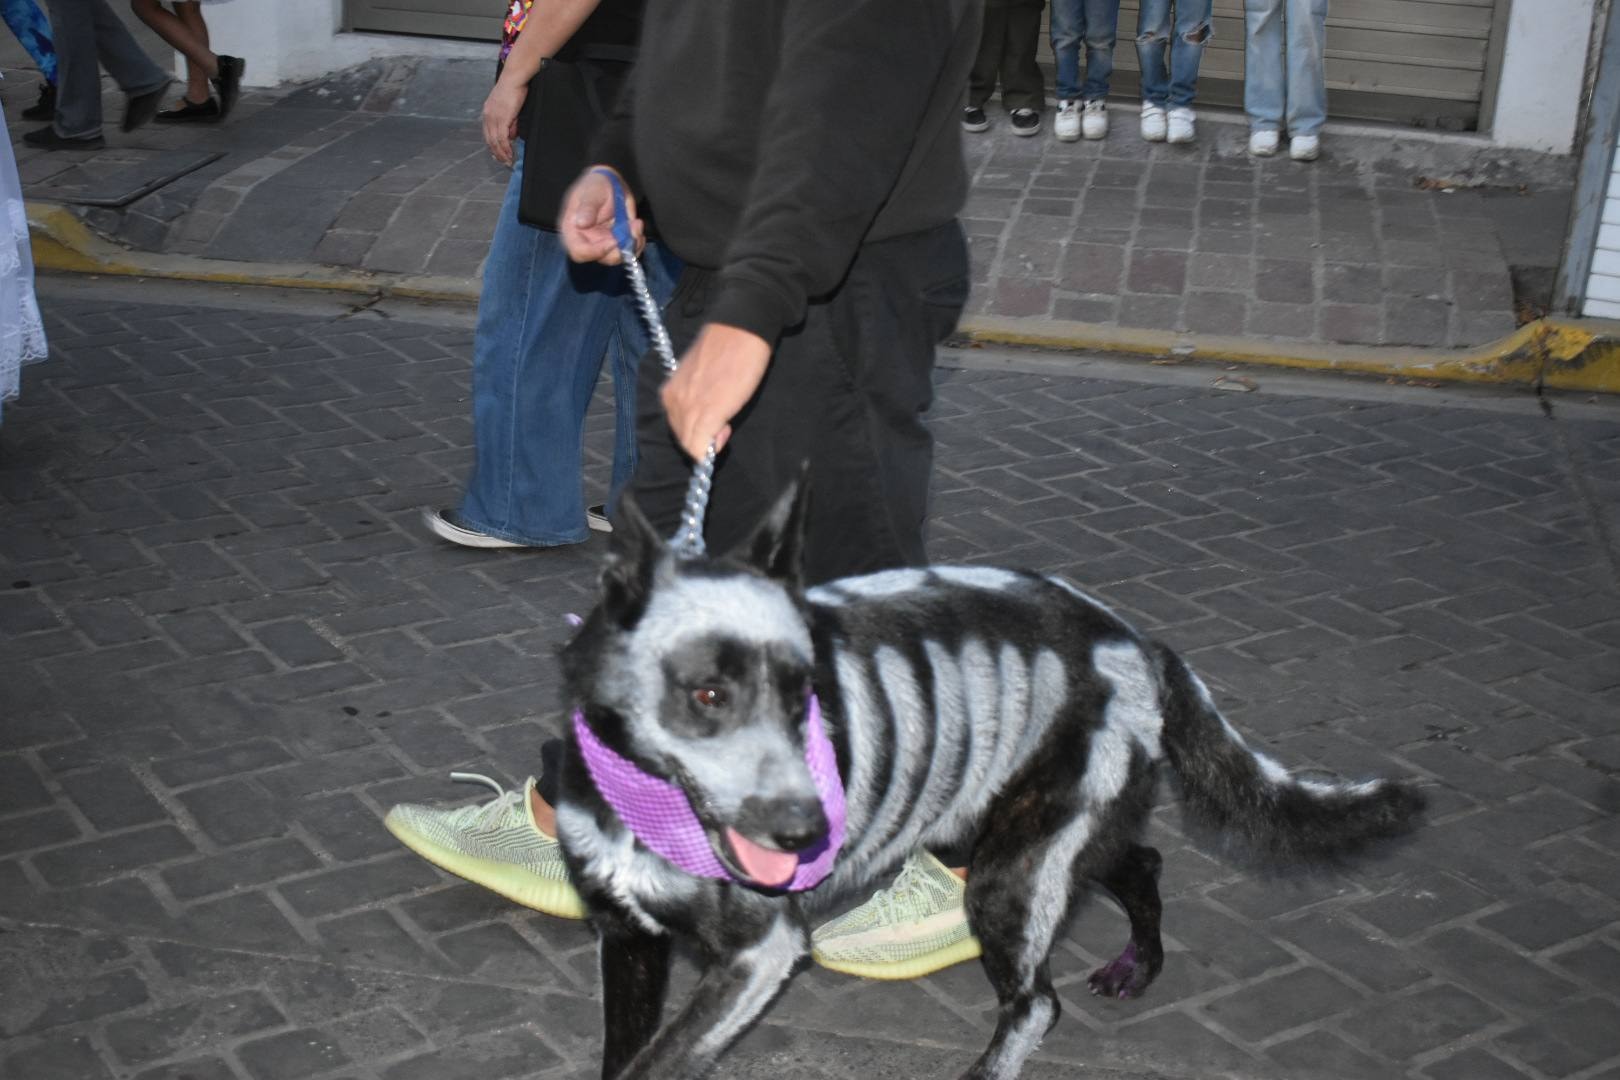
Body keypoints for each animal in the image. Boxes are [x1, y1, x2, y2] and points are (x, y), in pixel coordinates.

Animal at [555, 481, 1426, 1080]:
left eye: (807, 693)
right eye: (708, 694)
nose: (810, 833)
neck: (647, 804)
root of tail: (1136, 643)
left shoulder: (757, 956)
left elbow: (656, 1065)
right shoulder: (627, 937)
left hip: (1011, 874)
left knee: (1037, 1001)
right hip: (1021, 833)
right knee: (1140, 862)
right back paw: (1139, 965)